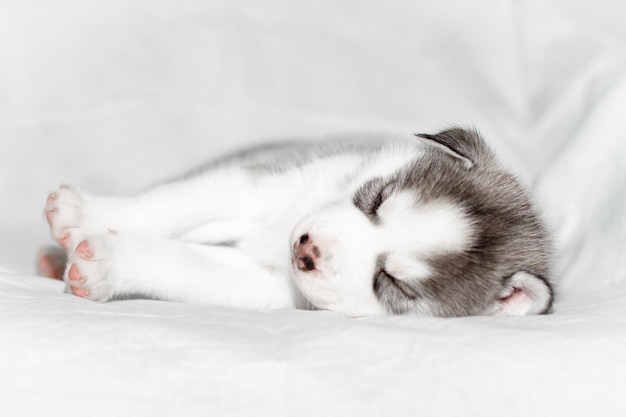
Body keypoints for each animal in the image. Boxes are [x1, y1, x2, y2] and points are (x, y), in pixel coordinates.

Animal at [40, 128, 552, 316]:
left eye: (391, 283)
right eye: (377, 199)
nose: (305, 249)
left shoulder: (267, 286)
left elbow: (184, 263)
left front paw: (109, 263)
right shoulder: (261, 184)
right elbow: (173, 202)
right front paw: (86, 213)